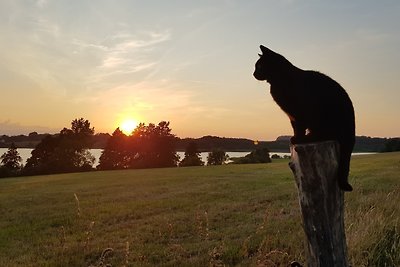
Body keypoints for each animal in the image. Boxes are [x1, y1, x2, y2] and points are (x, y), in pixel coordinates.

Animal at [255, 46, 354, 193]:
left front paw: (298, 139)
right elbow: (296, 128)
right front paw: (295, 137)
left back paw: (309, 137)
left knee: (325, 134)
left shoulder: (299, 113)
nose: (253, 73)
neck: (280, 79)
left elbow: (300, 128)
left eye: (259, 66)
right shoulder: (292, 116)